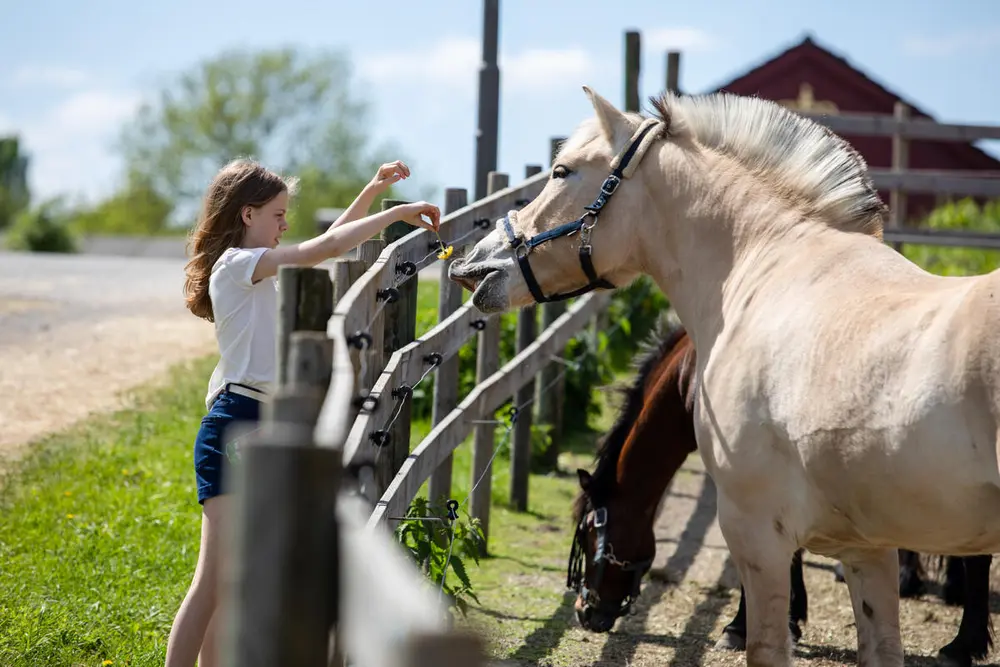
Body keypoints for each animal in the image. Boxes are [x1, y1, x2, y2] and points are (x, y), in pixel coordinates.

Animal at [568, 318, 996, 667]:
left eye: (589, 534)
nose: (584, 611)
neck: (693, 374)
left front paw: (740, 627)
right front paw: (793, 616)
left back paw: (962, 646)